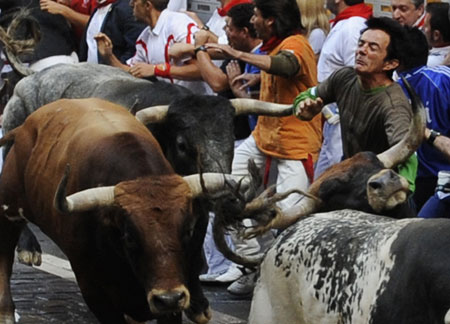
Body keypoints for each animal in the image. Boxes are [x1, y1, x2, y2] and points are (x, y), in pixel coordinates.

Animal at [0, 98, 246, 324]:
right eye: (129, 237)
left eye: (187, 231)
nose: (167, 298)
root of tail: (26, 126)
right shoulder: (93, 290)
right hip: (9, 211)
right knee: (5, 259)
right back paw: (8, 311)